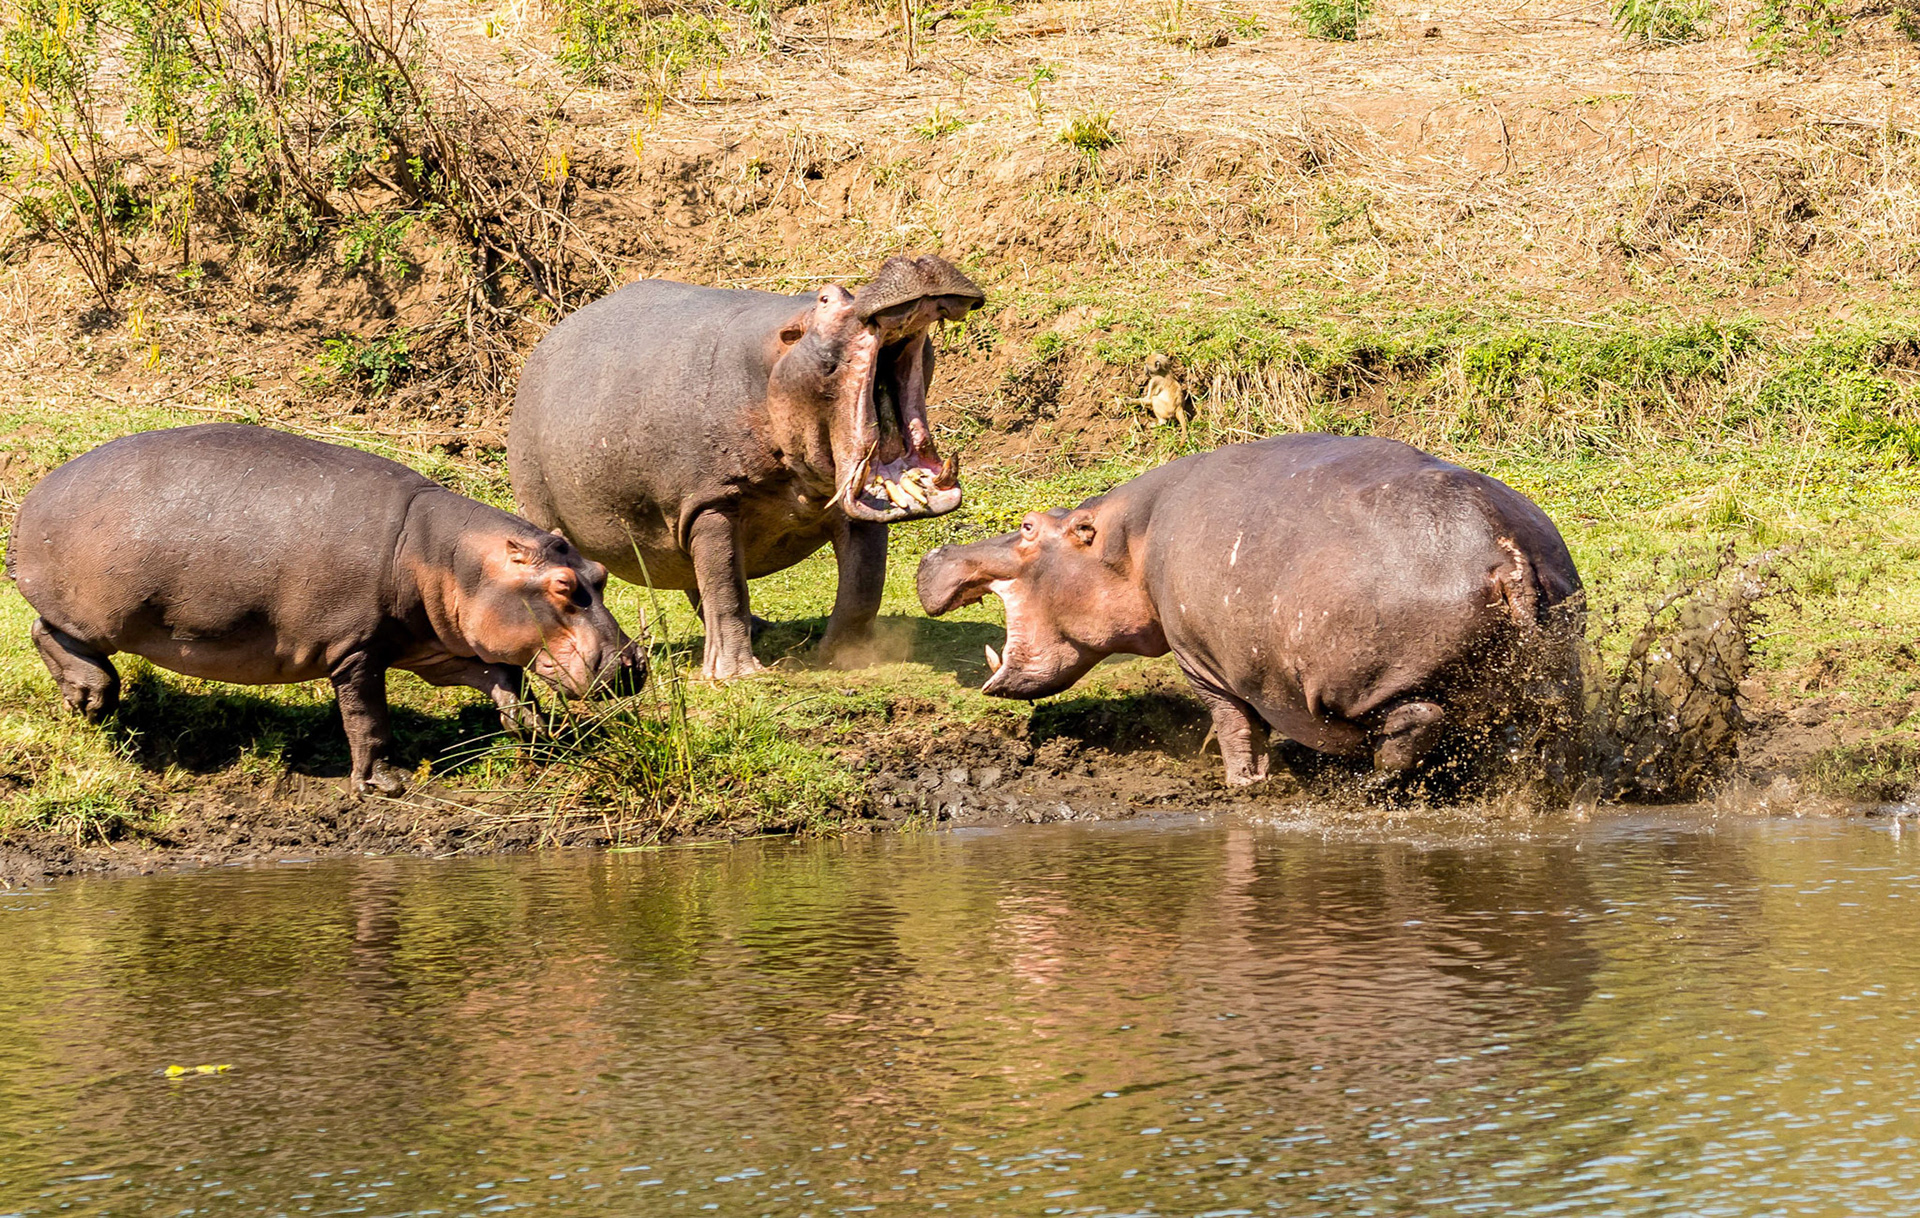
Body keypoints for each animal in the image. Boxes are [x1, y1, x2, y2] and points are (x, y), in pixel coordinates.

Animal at [5, 424, 645, 794]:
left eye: (600, 573)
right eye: (562, 586)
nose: (633, 664)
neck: (448, 556)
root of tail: (35, 494)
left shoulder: (435, 646)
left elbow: (502, 677)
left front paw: (539, 731)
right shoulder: (358, 652)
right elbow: (368, 720)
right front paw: (384, 785)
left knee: (48, 632)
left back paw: (88, 699)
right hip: (94, 612)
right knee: (47, 631)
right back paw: (91, 698)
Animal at [508, 253, 985, 679]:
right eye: (827, 298)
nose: (914, 259)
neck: (777, 352)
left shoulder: (851, 500)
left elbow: (862, 583)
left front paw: (843, 658)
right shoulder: (711, 502)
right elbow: (726, 588)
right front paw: (738, 675)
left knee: (692, 575)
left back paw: (761, 630)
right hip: (549, 510)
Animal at [917, 434, 1582, 784]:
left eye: (1029, 527)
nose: (935, 554)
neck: (1126, 542)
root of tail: (1501, 550)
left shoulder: (1200, 660)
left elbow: (1235, 724)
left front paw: (1244, 783)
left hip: (1382, 677)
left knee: (1413, 722)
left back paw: (1375, 780)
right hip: (1556, 664)